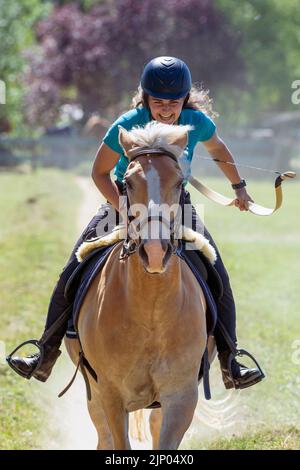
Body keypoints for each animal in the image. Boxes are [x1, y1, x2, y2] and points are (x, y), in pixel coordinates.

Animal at [65, 122, 216, 452]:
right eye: (128, 183)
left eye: (179, 181)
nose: (156, 252)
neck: (152, 312)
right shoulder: (111, 394)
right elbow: (118, 442)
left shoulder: (181, 396)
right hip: (94, 394)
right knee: (104, 437)